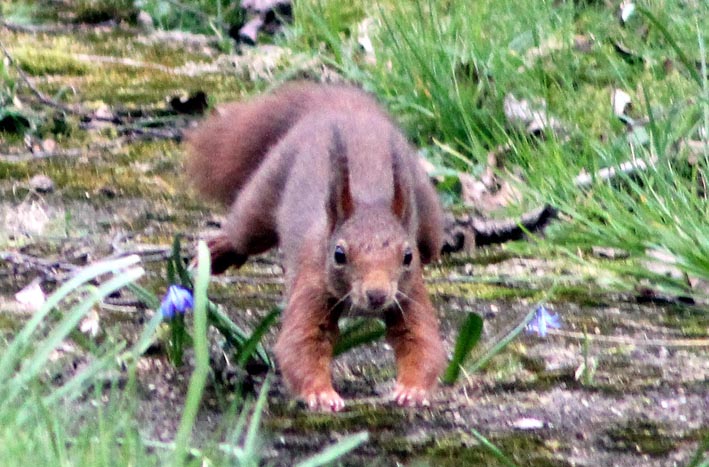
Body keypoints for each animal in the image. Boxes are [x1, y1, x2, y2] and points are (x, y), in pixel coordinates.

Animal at [186, 81, 447, 411]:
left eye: (408, 256)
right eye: (339, 254)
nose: (376, 295)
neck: (369, 202)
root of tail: (338, 105)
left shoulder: (408, 292)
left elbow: (422, 341)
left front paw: (411, 390)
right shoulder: (312, 282)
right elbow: (301, 343)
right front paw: (322, 395)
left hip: (430, 220)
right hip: (267, 188)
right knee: (243, 231)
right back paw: (217, 251)